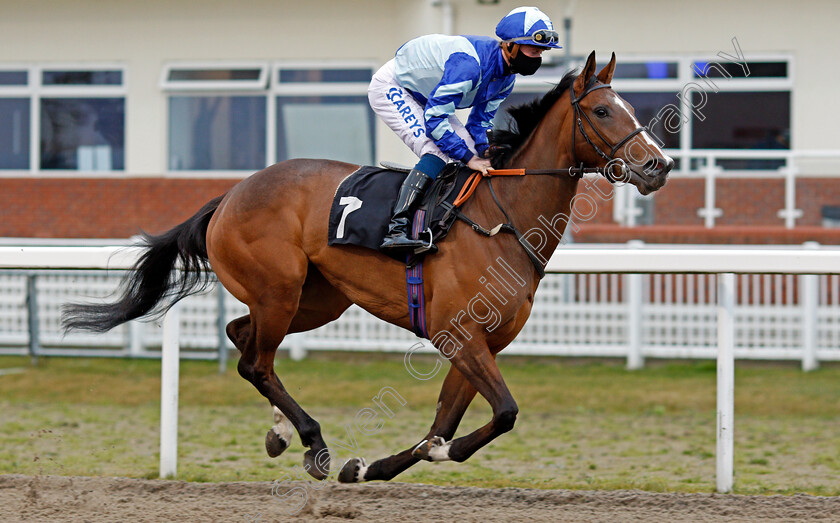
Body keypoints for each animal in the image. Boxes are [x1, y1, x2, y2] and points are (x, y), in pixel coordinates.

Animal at [62, 52, 672, 484]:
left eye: (632, 108)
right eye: (602, 110)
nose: (658, 165)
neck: (499, 219)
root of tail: (232, 193)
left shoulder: (482, 343)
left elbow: (445, 425)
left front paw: (374, 467)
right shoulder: (457, 334)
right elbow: (502, 413)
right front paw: (412, 455)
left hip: (317, 298)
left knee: (244, 340)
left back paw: (281, 434)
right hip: (279, 288)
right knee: (257, 360)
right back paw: (313, 443)